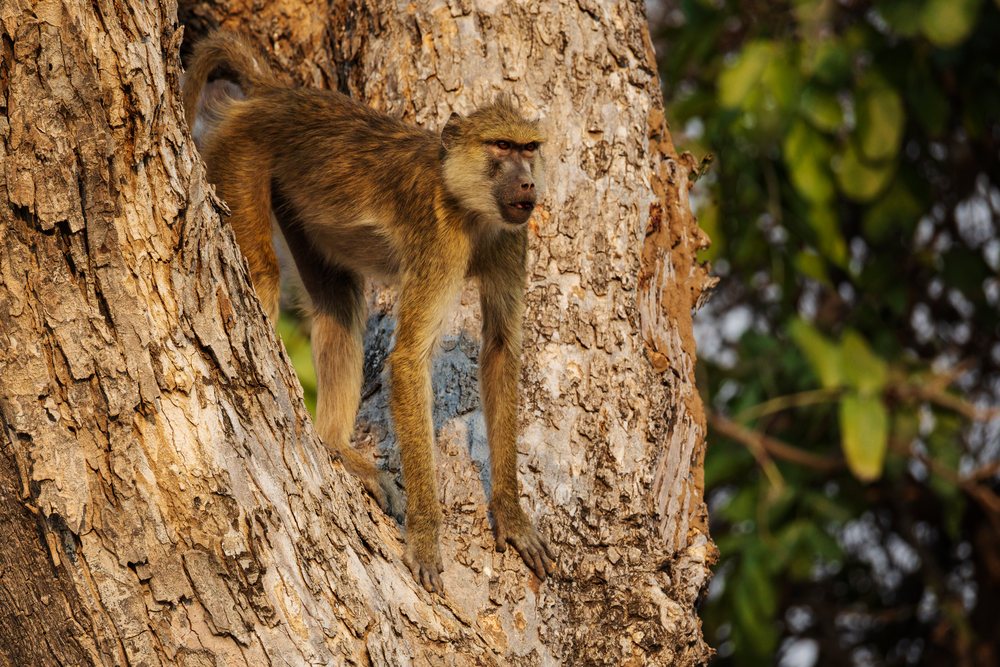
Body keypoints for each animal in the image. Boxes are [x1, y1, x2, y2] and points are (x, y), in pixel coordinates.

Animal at [183, 32, 556, 593]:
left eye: (528, 149)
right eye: (501, 147)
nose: (528, 184)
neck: (467, 204)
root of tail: (277, 95)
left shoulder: (511, 239)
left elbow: (499, 351)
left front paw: (510, 515)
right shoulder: (439, 241)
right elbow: (408, 362)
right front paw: (425, 537)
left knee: (338, 304)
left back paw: (334, 447)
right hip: (241, 155)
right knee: (263, 277)